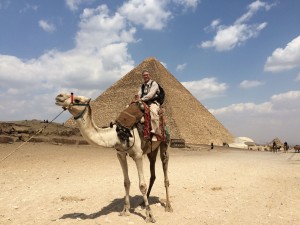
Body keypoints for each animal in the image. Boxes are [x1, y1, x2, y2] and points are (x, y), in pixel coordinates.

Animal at [55, 92, 172, 222]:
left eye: (77, 100)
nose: (59, 96)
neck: (117, 134)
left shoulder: (138, 155)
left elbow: (142, 185)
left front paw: (150, 216)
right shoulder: (120, 154)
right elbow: (126, 182)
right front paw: (125, 210)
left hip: (164, 143)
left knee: (165, 172)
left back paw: (168, 206)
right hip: (151, 150)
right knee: (153, 173)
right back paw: (143, 202)